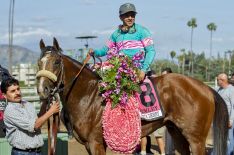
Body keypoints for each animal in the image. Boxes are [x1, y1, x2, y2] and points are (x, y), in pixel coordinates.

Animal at [37, 37, 229, 155]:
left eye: (56, 62)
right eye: (39, 62)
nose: (42, 89)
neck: (88, 96)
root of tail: (205, 88)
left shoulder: (96, 143)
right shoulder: (88, 145)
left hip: (196, 138)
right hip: (177, 132)